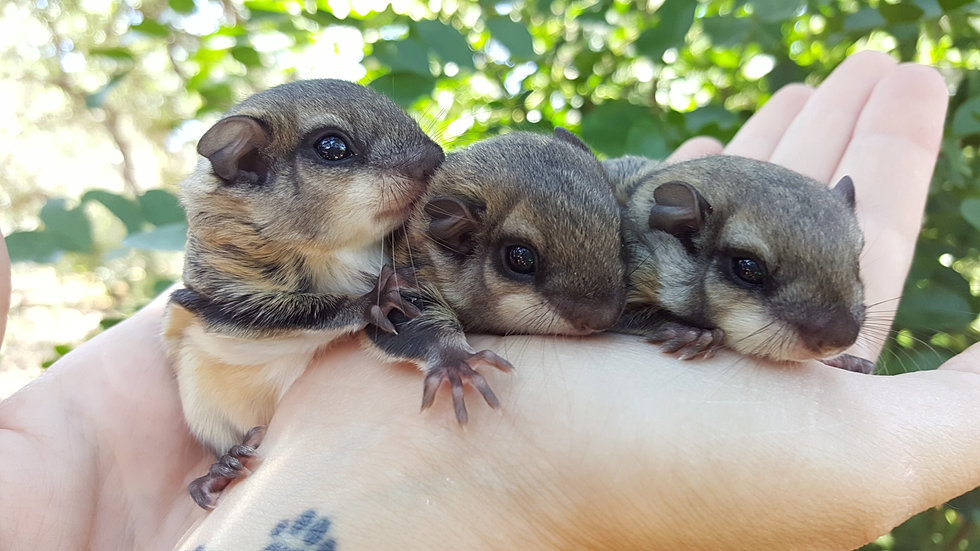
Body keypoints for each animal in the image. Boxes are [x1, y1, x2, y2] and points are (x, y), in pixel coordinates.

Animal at [164, 79, 444, 509]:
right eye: (332, 147)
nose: (438, 157)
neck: (336, 250)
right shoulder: (222, 298)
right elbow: (297, 313)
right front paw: (373, 299)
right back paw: (218, 471)